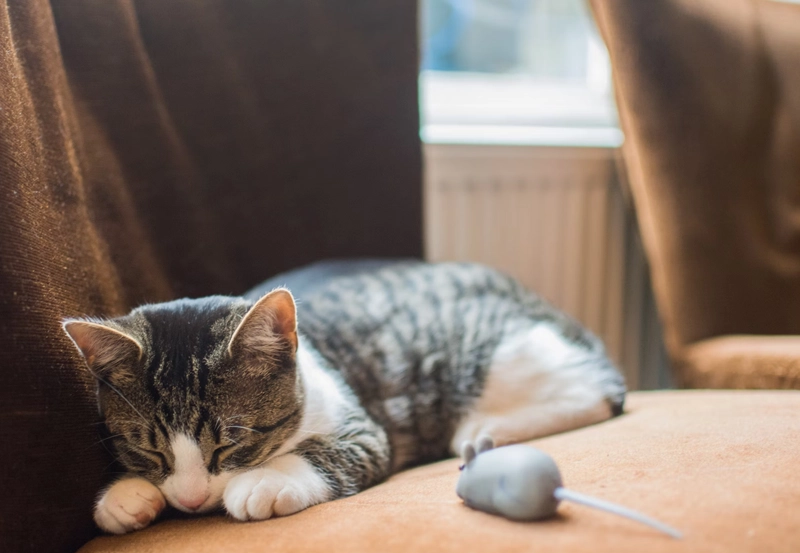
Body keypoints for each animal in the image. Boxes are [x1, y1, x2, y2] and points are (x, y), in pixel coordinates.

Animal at [62, 260, 624, 532]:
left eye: (231, 442)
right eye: (147, 449)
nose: (192, 499)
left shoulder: (366, 430)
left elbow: (330, 452)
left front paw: (265, 481)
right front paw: (127, 495)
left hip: (503, 353)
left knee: (601, 389)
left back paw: (486, 429)